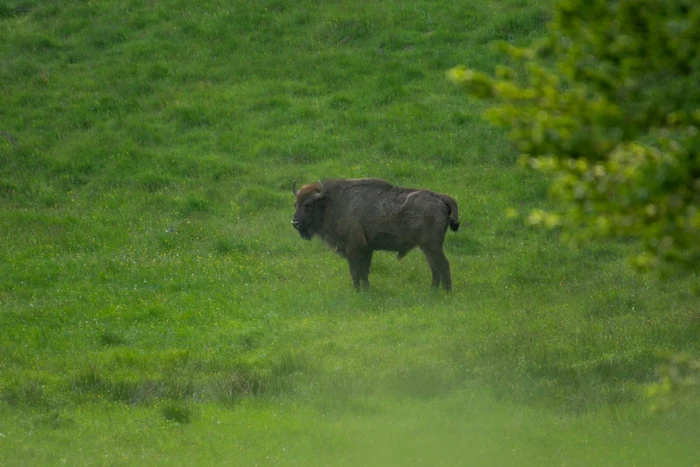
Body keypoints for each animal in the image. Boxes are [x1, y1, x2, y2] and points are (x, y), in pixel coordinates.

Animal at [290, 177, 460, 290]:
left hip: (431, 246)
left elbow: (355, 271)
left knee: (442, 265)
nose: (295, 223)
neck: (331, 202)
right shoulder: (367, 249)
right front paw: (366, 290)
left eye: (309, 204)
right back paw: (433, 291)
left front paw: (357, 290)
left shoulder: (353, 248)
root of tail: (440, 197)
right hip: (427, 247)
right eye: (295, 204)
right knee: (435, 267)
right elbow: (364, 271)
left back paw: (446, 291)